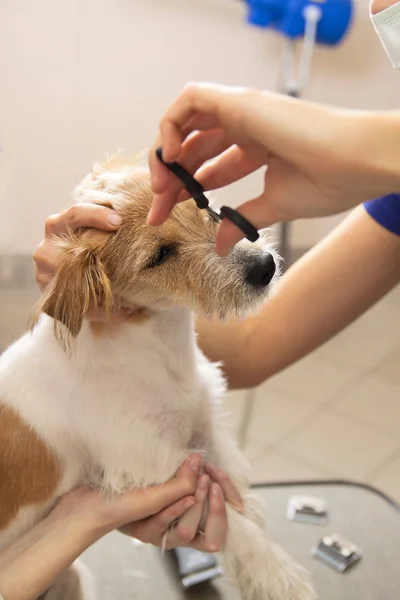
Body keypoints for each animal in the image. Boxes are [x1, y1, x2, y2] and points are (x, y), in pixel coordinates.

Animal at [0, 156, 316, 600]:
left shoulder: (202, 416)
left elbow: (229, 473)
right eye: (160, 254)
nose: (264, 267)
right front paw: (275, 573)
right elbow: (227, 513)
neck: (160, 348)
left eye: (199, 200)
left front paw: (250, 509)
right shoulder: (157, 463)